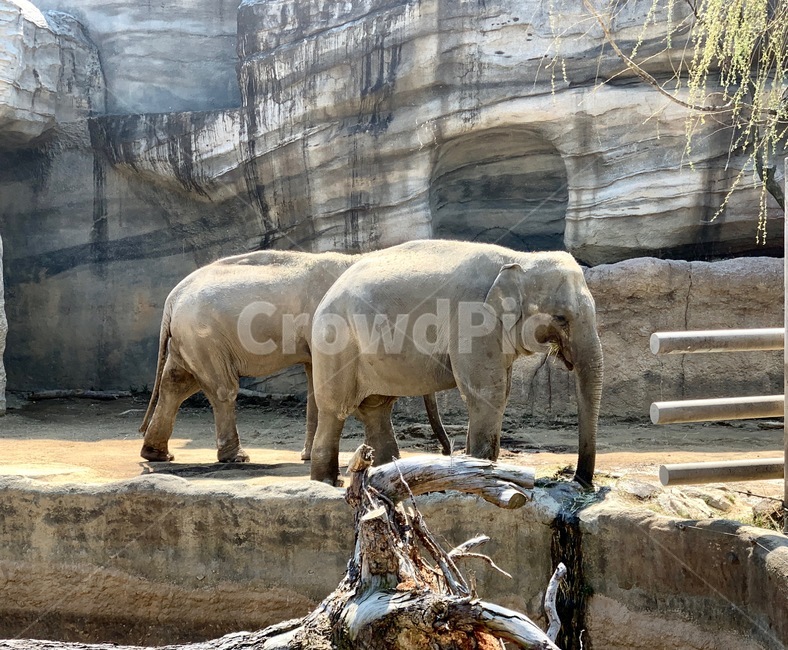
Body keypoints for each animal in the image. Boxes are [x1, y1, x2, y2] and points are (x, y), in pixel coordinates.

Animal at [139, 250, 451, 463]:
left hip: (189, 339)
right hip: (204, 336)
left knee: (177, 383)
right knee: (222, 388)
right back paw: (237, 457)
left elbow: (314, 380)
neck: (355, 258)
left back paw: (157, 455)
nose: (446, 450)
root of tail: (172, 298)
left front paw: (308, 456)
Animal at [309, 239, 603, 487]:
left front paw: (474, 467)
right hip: (335, 342)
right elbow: (488, 393)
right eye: (561, 318)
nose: (580, 482)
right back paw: (327, 482)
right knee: (335, 409)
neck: (519, 259)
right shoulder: (473, 319)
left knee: (377, 408)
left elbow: (498, 391)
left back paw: (385, 472)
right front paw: (483, 470)